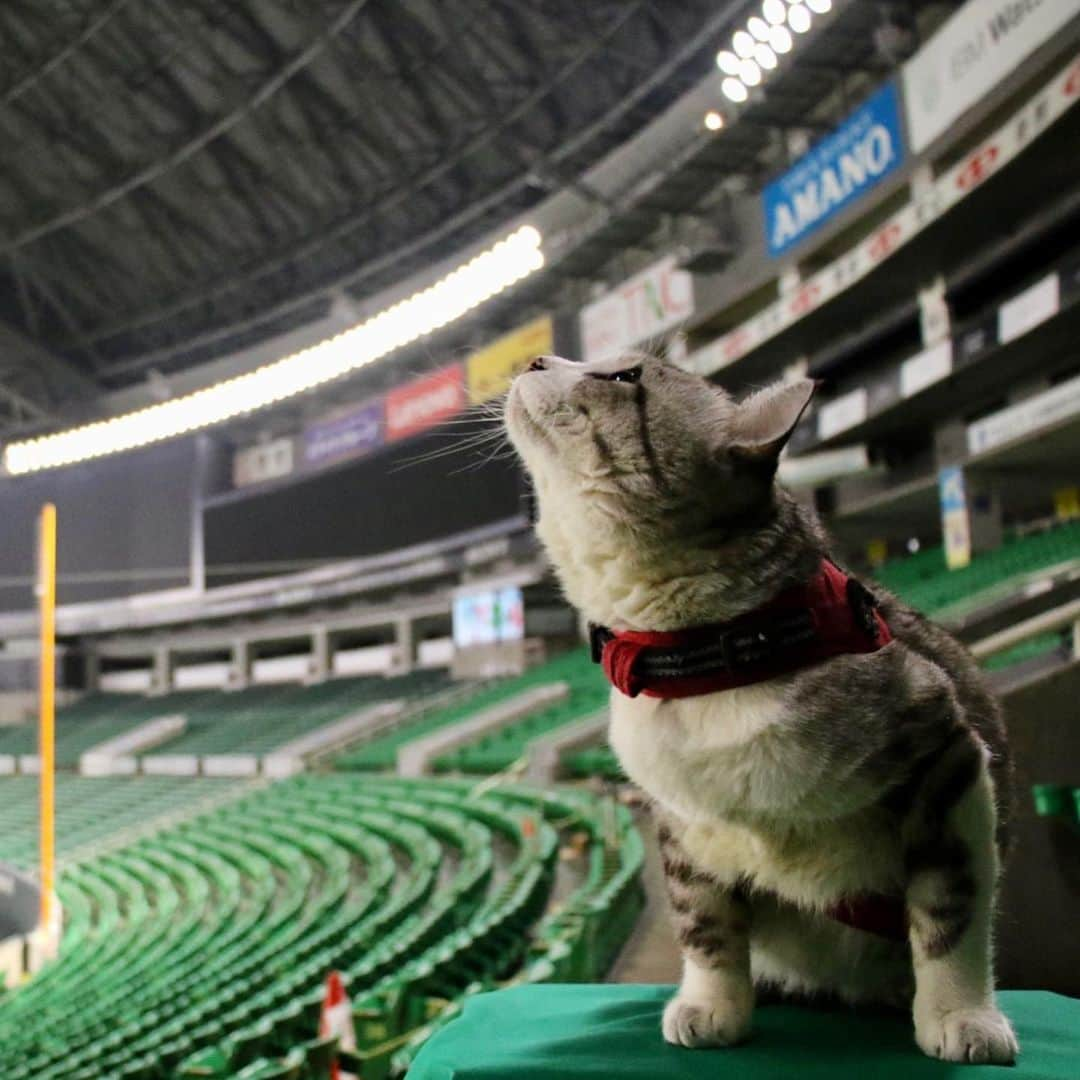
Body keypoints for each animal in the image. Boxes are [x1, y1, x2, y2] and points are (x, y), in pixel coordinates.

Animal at [501, 352, 1015, 1062]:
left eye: (624, 377)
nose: (538, 357)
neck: (707, 661)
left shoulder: (950, 766)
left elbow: (951, 916)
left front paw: (961, 1014)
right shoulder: (684, 825)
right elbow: (705, 929)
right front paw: (712, 1004)